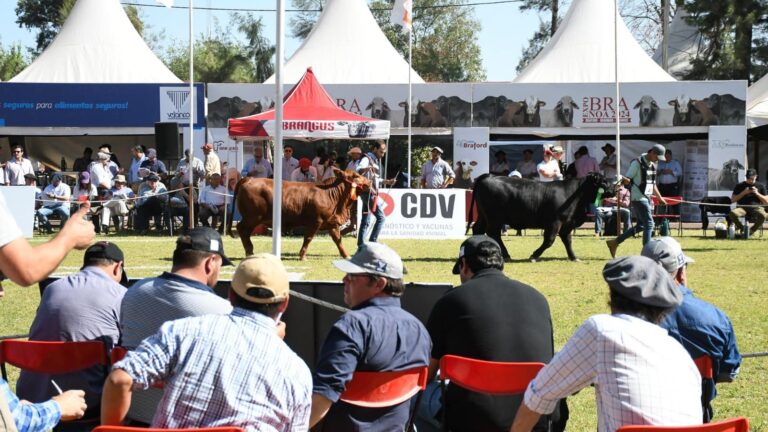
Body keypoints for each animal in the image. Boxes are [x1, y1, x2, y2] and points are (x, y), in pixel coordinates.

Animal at [231, 169, 368, 260]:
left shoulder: (331, 222)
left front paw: (346, 255)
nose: (369, 182)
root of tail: (249, 178)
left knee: (244, 232)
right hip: (252, 217)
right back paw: (249, 252)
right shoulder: (315, 221)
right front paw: (302, 256)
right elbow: (308, 238)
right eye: (356, 175)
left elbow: (337, 240)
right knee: (241, 229)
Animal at [468, 173, 608, 262]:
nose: (613, 188)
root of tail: (489, 175)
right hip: (494, 218)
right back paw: (506, 254)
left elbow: (567, 241)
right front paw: (534, 256)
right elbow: (549, 240)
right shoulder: (555, 222)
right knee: (493, 233)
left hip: (483, 216)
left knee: (478, 229)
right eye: (604, 182)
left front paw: (574, 257)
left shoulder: (567, 223)